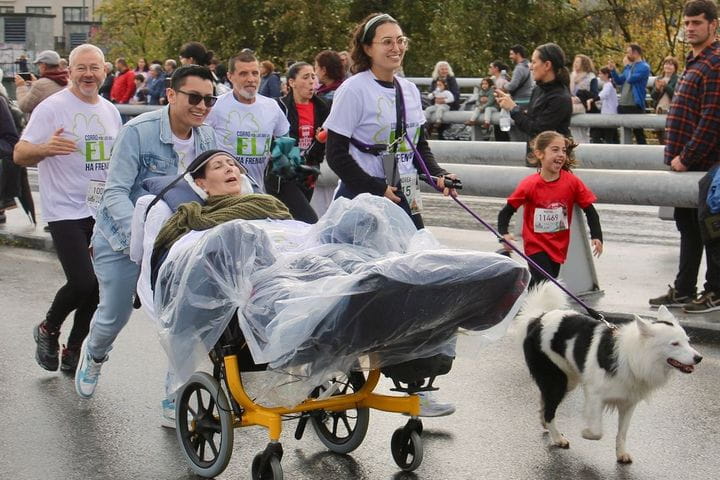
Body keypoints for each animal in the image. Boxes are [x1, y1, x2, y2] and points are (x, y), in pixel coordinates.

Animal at [516, 284, 704, 464]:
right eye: (675, 344)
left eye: (688, 341)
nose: (699, 358)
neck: (633, 356)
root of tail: (537, 320)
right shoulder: (594, 394)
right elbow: (598, 431)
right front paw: (586, 432)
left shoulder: (629, 402)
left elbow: (622, 433)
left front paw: (621, 454)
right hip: (557, 380)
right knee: (550, 410)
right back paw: (557, 437)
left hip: (569, 379)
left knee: (545, 402)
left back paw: (545, 423)